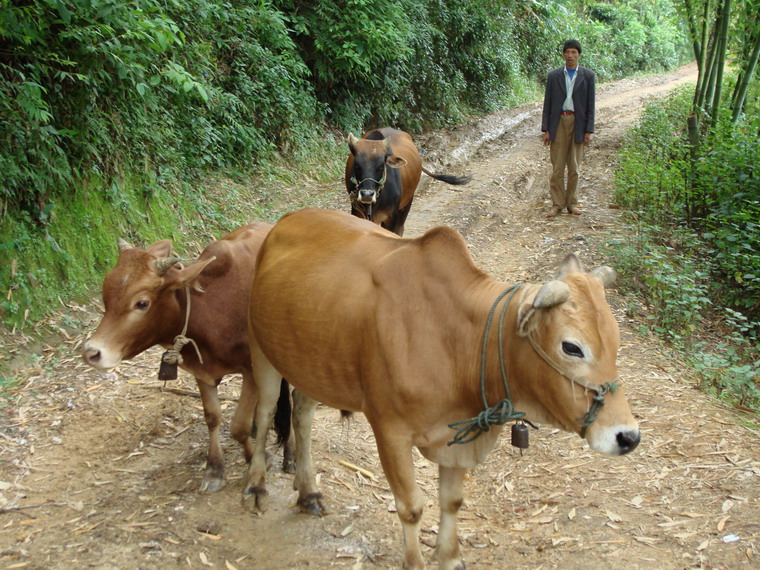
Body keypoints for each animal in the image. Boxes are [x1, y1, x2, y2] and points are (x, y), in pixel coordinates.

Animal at [81, 223, 292, 492]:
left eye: (142, 303)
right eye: (105, 297)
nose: (91, 353)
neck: (213, 308)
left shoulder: (251, 371)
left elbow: (238, 427)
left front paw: (257, 456)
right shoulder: (202, 370)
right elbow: (212, 417)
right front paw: (214, 469)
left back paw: (290, 456)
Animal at [243, 210, 640, 568]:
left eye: (616, 342)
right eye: (571, 347)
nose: (628, 437)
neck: (458, 341)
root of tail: (285, 221)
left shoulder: (459, 436)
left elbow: (452, 501)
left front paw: (449, 557)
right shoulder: (390, 431)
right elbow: (411, 507)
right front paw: (415, 561)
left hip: (312, 361)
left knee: (302, 412)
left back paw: (308, 491)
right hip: (262, 350)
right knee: (264, 413)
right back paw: (257, 485)